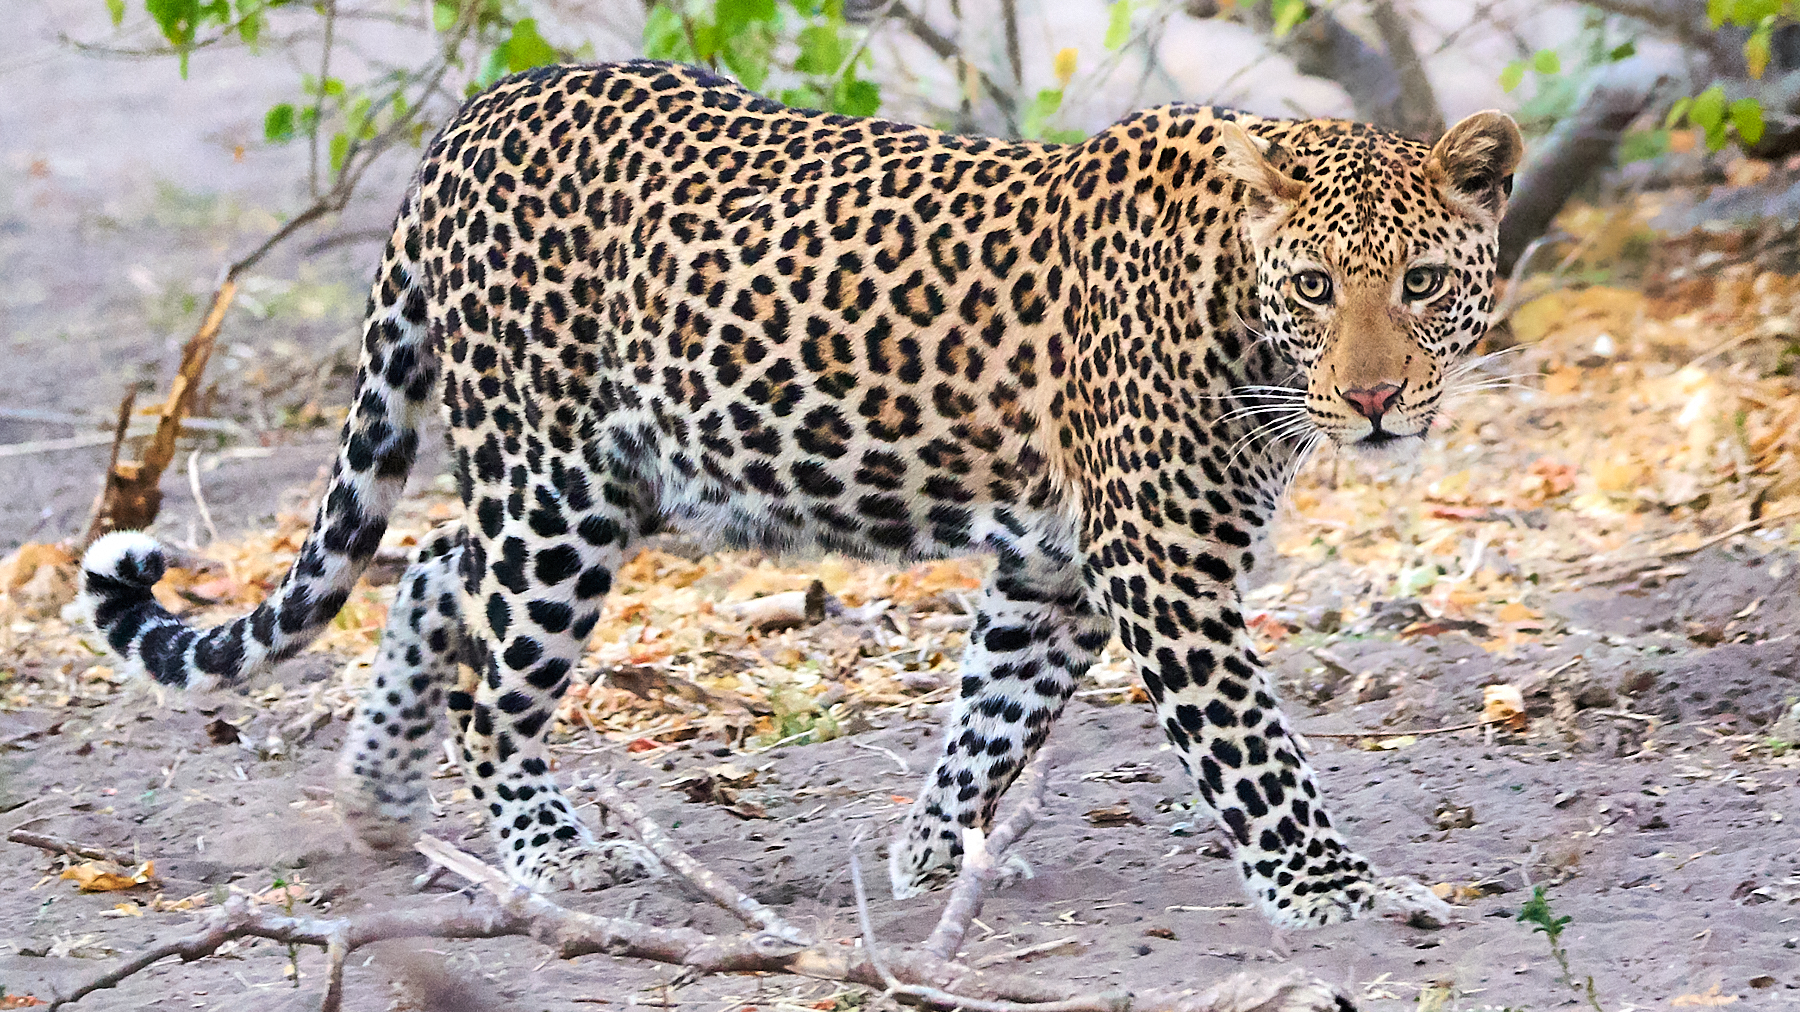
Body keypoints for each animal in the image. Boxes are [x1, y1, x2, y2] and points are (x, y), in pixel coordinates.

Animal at [79, 59, 1521, 929]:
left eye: (1423, 285)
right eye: (1318, 287)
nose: (1376, 401)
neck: (1236, 307)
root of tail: (473, 118)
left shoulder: (1055, 563)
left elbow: (993, 711)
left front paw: (930, 854)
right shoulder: (1159, 562)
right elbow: (1252, 748)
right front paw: (1334, 891)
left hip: (605, 473)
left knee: (438, 565)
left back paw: (379, 796)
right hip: (561, 485)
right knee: (494, 681)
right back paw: (550, 851)